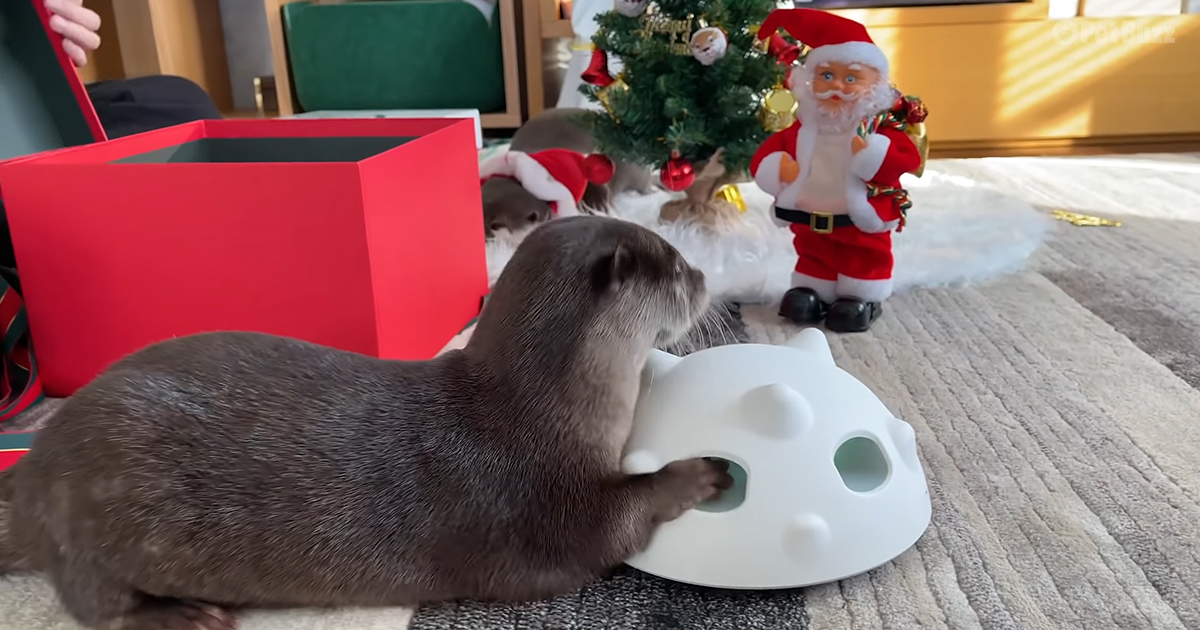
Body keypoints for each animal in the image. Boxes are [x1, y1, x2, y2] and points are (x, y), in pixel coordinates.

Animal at [0, 216, 732, 630]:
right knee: (92, 605)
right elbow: (609, 527)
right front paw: (699, 474)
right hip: (88, 527)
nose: (706, 278)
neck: (536, 413)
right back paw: (182, 615)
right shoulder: (534, 507)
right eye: (673, 264)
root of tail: (32, 475)